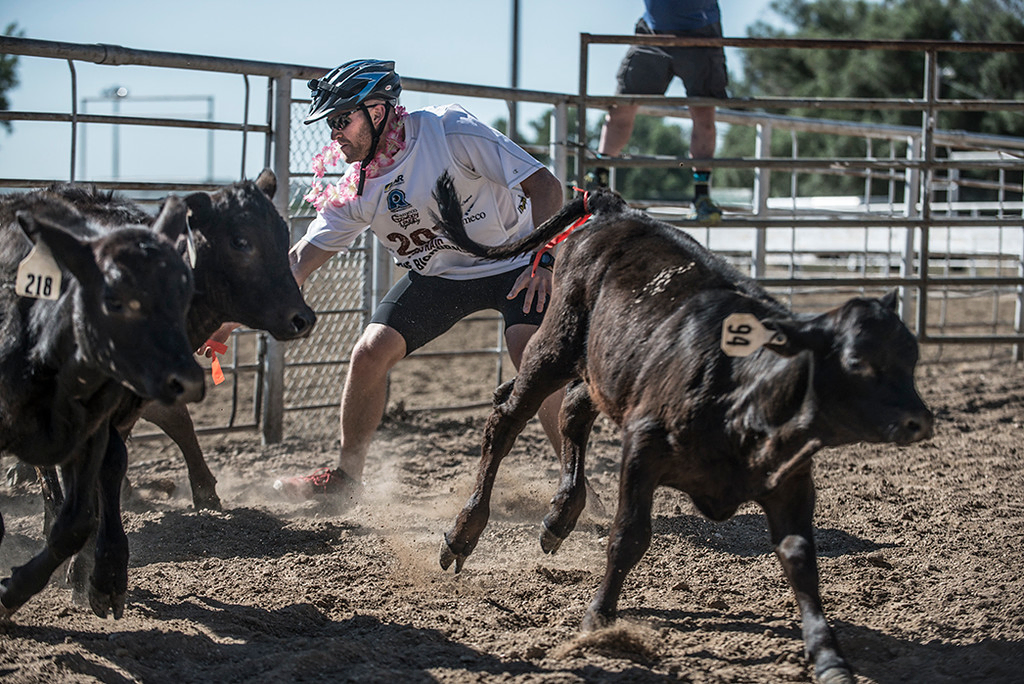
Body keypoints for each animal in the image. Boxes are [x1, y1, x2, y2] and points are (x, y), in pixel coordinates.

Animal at [432, 174, 937, 684]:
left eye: (912, 357)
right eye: (857, 361)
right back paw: (463, 533)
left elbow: (800, 558)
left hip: (605, 367)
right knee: (507, 420)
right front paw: (599, 616)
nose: (920, 420)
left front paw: (829, 656)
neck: (742, 389)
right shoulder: (643, 448)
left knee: (572, 410)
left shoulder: (790, 479)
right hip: (553, 345)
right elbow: (630, 535)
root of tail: (615, 209)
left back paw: (560, 516)